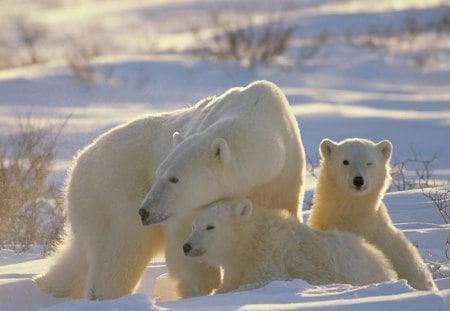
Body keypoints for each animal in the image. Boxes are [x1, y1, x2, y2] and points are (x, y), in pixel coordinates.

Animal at [37, 80, 308, 300]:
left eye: (174, 178)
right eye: (160, 172)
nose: (145, 211)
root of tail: (78, 162)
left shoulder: (282, 178)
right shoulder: (185, 207)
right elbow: (183, 237)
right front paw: (198, 287)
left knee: (80, 255)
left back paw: (48, 286)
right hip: (113, 193)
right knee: (121, 252)